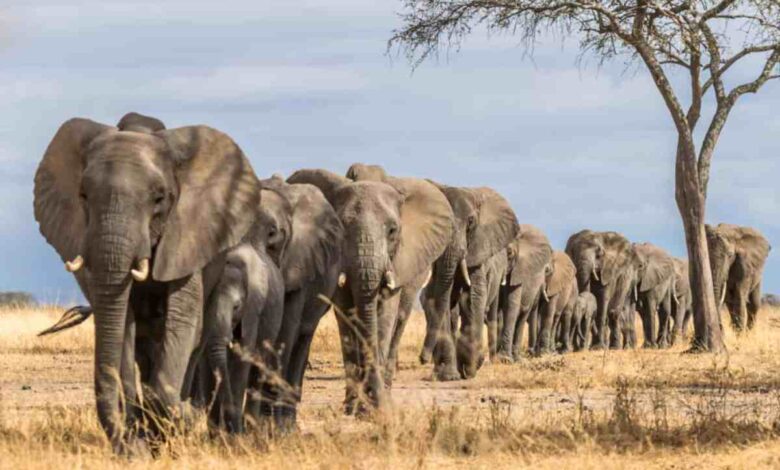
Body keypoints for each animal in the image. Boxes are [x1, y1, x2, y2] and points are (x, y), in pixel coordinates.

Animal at [34, 113, 260, 452]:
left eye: (159, 198)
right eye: (83, 196)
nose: (124, 446)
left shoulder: (187, 236)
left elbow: (182, 321)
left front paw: (180, 419)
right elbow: (121, 325)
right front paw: (139, 443)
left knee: (194, 340)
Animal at [287, 168, 454, 413]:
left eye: (393, 230)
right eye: (341, 228)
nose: (374, 403)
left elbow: (385, 315)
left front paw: (374, 406)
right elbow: (346, 317)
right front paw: (354, 407)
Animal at [495, 225, 553, 363]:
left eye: (510, 253)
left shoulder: (520, 270)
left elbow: (512, 304)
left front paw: (505, 359)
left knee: (522, 316)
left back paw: (516, 358)